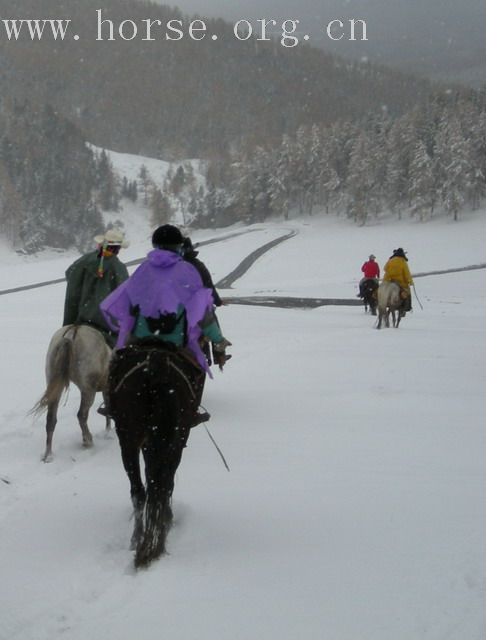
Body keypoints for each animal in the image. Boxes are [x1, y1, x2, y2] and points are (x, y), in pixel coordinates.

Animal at [32, 324, 112, 460]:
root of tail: (73, 331)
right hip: (88, 390)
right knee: (81, 415)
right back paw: (87, 440)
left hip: (55, 387)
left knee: (51, 420)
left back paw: (48, 455)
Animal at [107, 342, 204, 568]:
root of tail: (156, 369)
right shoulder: (177, 442)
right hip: (167, 440)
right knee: (159, 485)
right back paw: (153, 538)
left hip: (131, 439)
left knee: (141, 489)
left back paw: (140, 540)